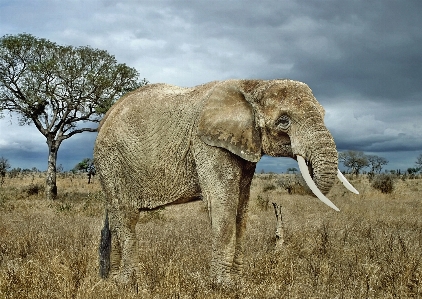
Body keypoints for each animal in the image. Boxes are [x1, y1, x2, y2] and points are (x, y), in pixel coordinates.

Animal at [94, 78, 358, 284]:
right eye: (284, 121)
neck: (253, 85)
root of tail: (106, 116)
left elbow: (241, 207)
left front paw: (237, 282)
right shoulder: (207, 143)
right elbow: (223, 203)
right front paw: (222, 285)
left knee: (115, 217)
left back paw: (111, 280)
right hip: (112, 159)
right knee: (126, 215)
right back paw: (129, 282)